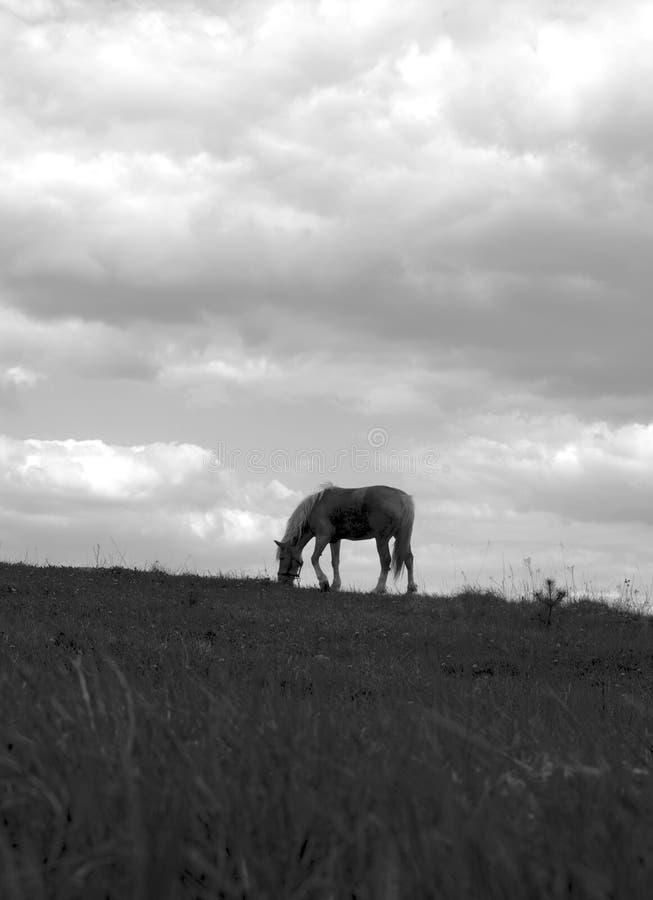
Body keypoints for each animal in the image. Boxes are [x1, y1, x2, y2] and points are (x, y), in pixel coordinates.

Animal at [272, 482, 416, 596]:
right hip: (402, 538)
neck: (316, 507)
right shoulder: (334, 540)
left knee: (385, 561)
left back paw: (378, 589)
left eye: (282, 558)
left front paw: (324, 583)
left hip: (382, 539)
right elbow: (335, 562)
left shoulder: (323, 537)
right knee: (408, 558)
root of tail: (403, 498)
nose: (281, 580)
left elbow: (314, 558)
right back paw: (411, 589)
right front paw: (335, 585)